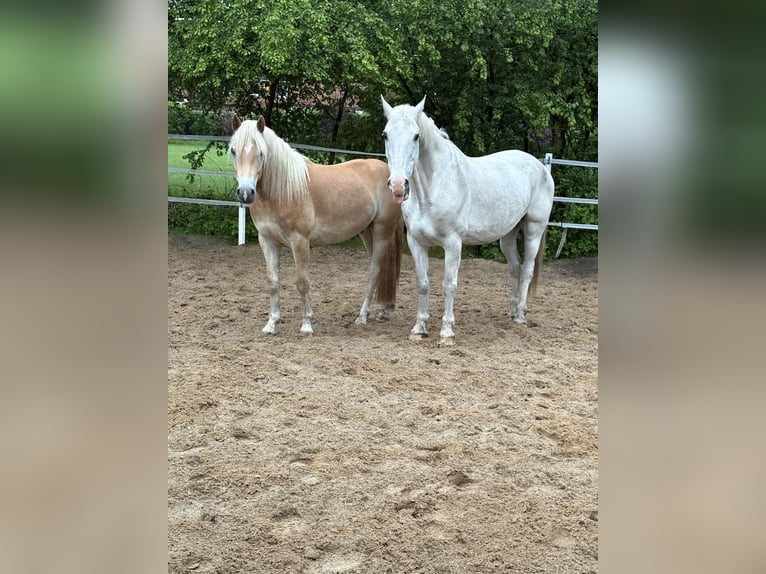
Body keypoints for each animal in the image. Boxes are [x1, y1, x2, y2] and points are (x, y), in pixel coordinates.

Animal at [229, 115, 403, 335]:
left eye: (261, 153)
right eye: (233, 150)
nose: (245, 193)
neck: (283, 191)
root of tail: (392, 176)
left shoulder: (300, 241)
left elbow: (302, 282)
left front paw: (306, 325)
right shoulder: (267, 241)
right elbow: (273, 282)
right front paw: (271, 324)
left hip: (382, 231)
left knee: (375, 271)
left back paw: (362, 316)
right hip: (367, 232)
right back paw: (383, 310)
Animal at [380, 96, 555, 345]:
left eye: (415, 136)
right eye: (385, 134)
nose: (397, 185)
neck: (433, 189)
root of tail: (541, 166)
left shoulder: (453, 244)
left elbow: (449, 285)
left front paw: (446, 333)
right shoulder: (416, 243)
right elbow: (422, 284)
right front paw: (419, 329)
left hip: (533, 230)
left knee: (528, 269)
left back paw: (521, 315)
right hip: (508, 235)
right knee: (515, 268)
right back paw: (512, 312)